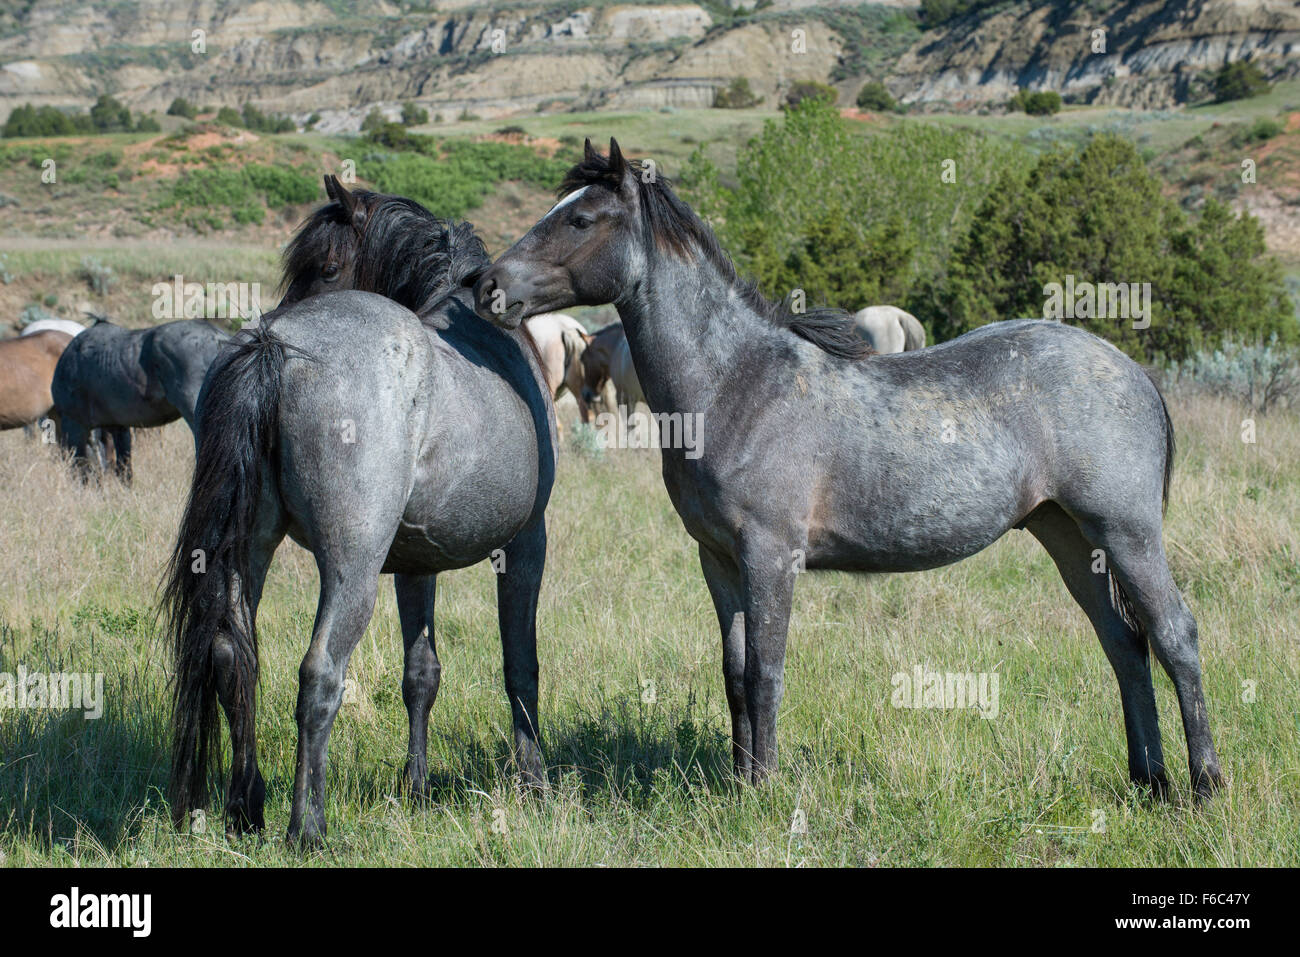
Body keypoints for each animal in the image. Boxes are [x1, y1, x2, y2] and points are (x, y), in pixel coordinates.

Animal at [163, 178, 553, 842]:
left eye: (324, 268)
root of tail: (275, 345)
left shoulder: (416, 563)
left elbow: (421, 673)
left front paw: (416, 788)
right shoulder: (526, 543)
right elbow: (519, 664)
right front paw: (533, 781)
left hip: (249, 552)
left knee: (231, 657)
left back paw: (246, 807)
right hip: (353, 569)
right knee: (319, 674)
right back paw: (306, 827)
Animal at [473, 140, 1222, 800]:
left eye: (580, 218)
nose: (488, 286)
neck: (733, 383)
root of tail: (1133, 372)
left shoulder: (771, 554)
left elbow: (767, 671)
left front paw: (764, 790)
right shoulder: (719, 560)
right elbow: (734, 673)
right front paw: (738, 783)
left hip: (1125, 532)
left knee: (1175, 635)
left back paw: (1203, 785)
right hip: (1067, 535)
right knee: (1123, 643)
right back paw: (1148, 779)